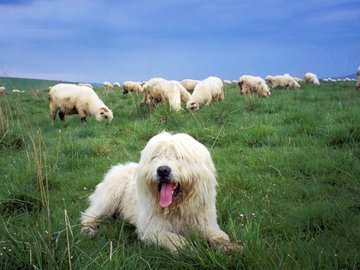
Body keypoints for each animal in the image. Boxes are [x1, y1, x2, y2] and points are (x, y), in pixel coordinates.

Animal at [81, 132, 242, 252]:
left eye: (179, 157)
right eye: (155, 157)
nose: (163, 170)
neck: (177, 208)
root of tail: (121, 166)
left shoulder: (206, 223)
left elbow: (218, 235)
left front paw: (228, 246)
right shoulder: (152, 229)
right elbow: (176, 240)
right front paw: (191, 249)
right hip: (109, 196)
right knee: (90, 214)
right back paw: (88, 229)